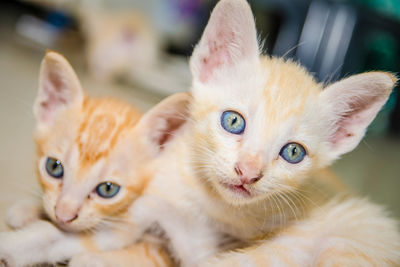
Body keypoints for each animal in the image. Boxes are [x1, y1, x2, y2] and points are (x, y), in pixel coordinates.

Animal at [0, 51, 172, 267]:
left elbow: (148, 253)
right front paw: (28, 212)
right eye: (54, 167)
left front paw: (92, 259)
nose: (63, 216)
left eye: (108, 189)